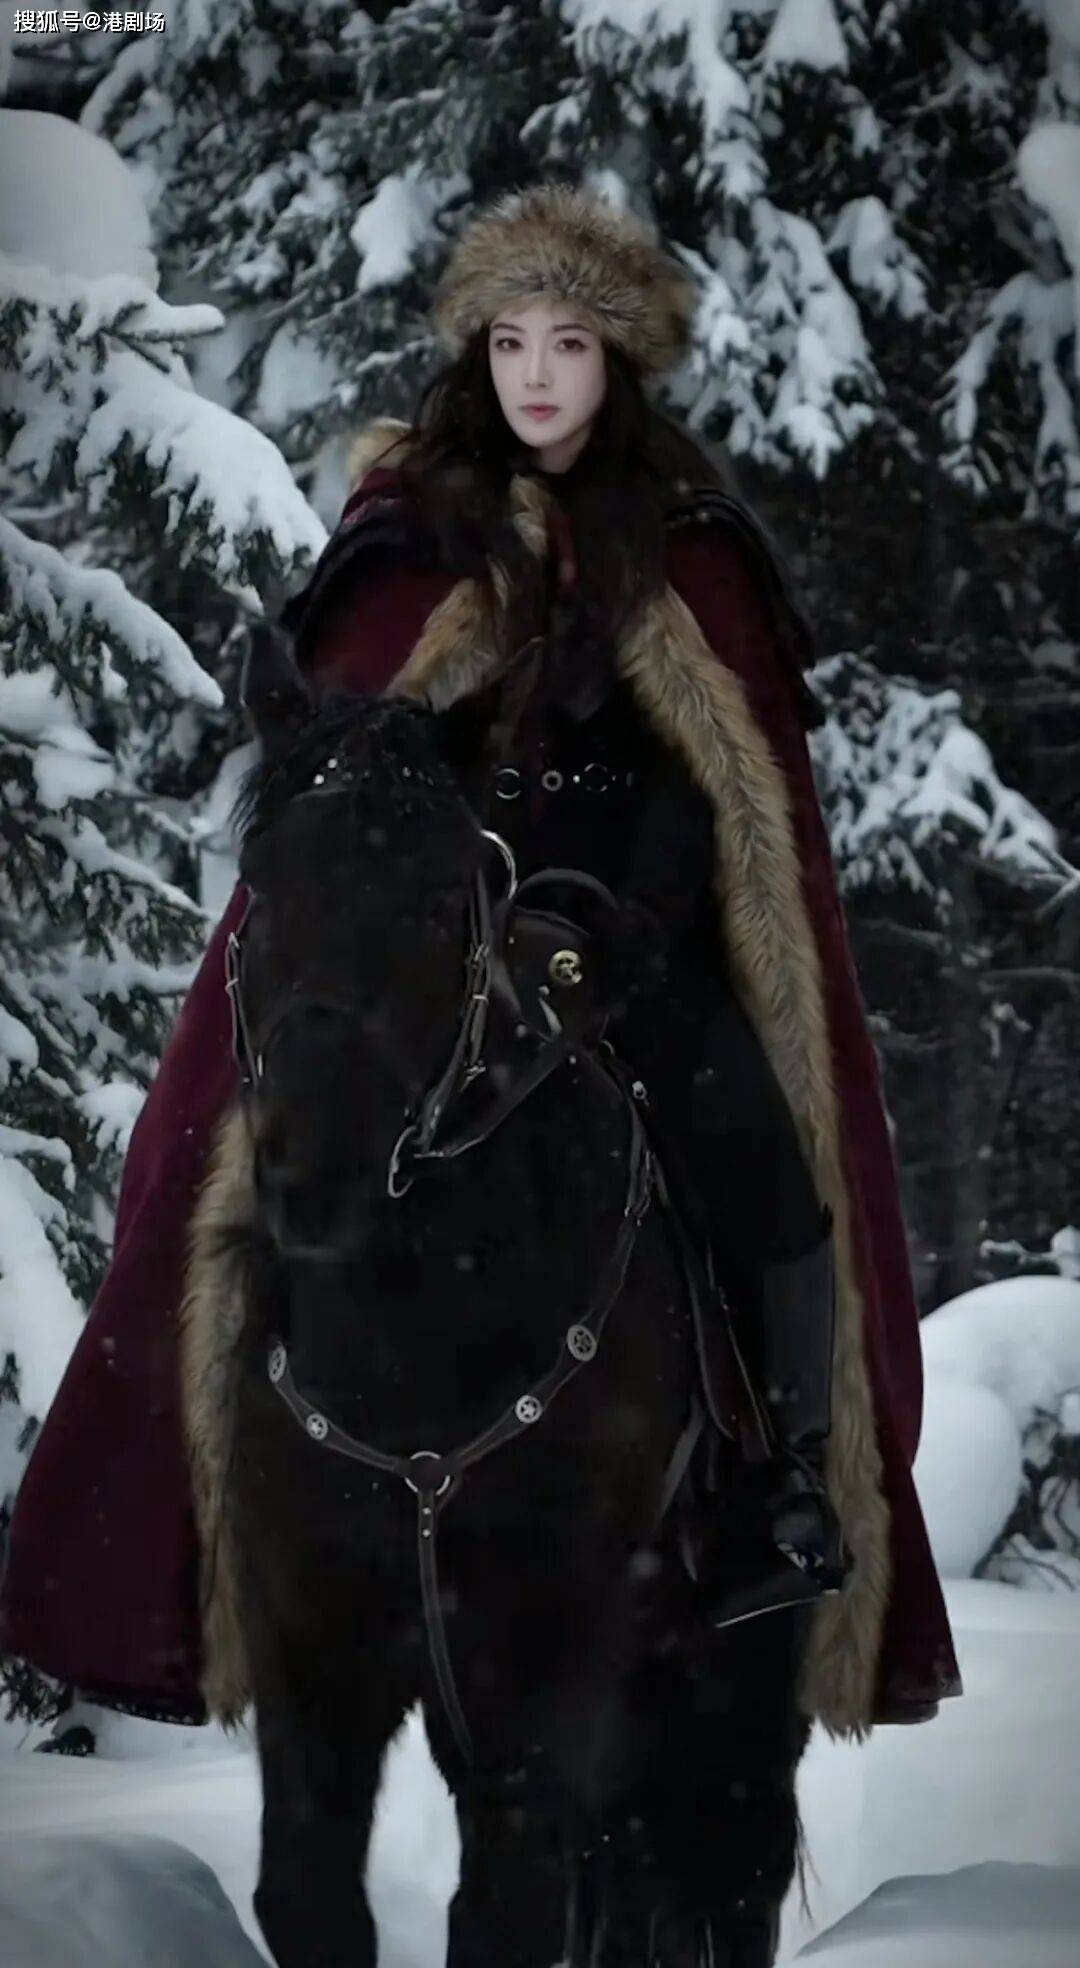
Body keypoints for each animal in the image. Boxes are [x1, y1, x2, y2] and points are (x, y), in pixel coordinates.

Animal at [195, 637, 812, 1968]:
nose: (311, 1178)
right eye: (262, 889)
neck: (413, 1333)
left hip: (724, 1699)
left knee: (720, 1880)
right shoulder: (314, 1657)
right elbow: (309, 1896)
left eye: (441, 905)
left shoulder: (547, 1681)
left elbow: (505, 1916)